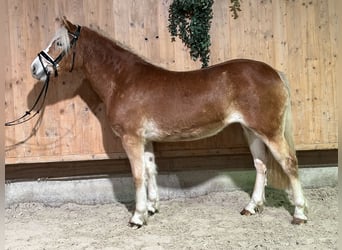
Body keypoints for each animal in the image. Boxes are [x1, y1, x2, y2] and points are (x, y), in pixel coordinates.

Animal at [30, 16, 308, 228]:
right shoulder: (146, 140)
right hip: (252, 130)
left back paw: (299, 214)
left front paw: (137, 217)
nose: (34, 68)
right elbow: (150, 170)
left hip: (270, 132)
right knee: (261, 166)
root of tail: (274, 72)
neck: (122, 80)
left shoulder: (131, 138)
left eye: (58, 43)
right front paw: (152, 208)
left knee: (289, 164)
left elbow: (137, 176)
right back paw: (251, 207)